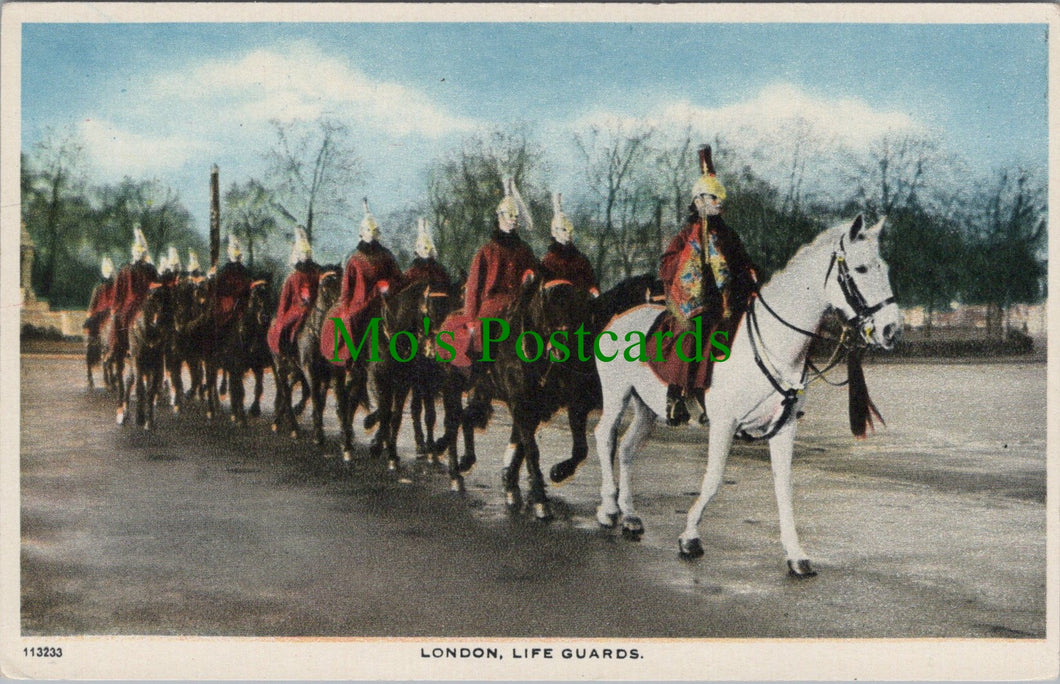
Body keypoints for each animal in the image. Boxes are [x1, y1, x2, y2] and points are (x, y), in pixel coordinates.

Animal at [117, 286, 172, 430]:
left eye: (169, 302)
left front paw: (150, 421)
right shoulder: (137, 362)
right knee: (127, 385)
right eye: (153, 301)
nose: (163, 320)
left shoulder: (157, 364)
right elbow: (140, 388)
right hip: (132, 366)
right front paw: (140, 418)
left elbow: (151, 391)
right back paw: (123, 414)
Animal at [593, 215, 898, 576]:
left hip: (646, 408)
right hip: (617, 394)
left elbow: (783, 486)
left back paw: (629, 515)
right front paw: (690, 536)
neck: (774, 342)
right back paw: (608, 508)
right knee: (604, 436)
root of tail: (618, 318)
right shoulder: (724, 423)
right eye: (861, 268)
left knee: (626, 448)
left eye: (884, 267)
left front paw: (796, 554)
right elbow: (713, 480)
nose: (892, 330)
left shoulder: (784, 427)